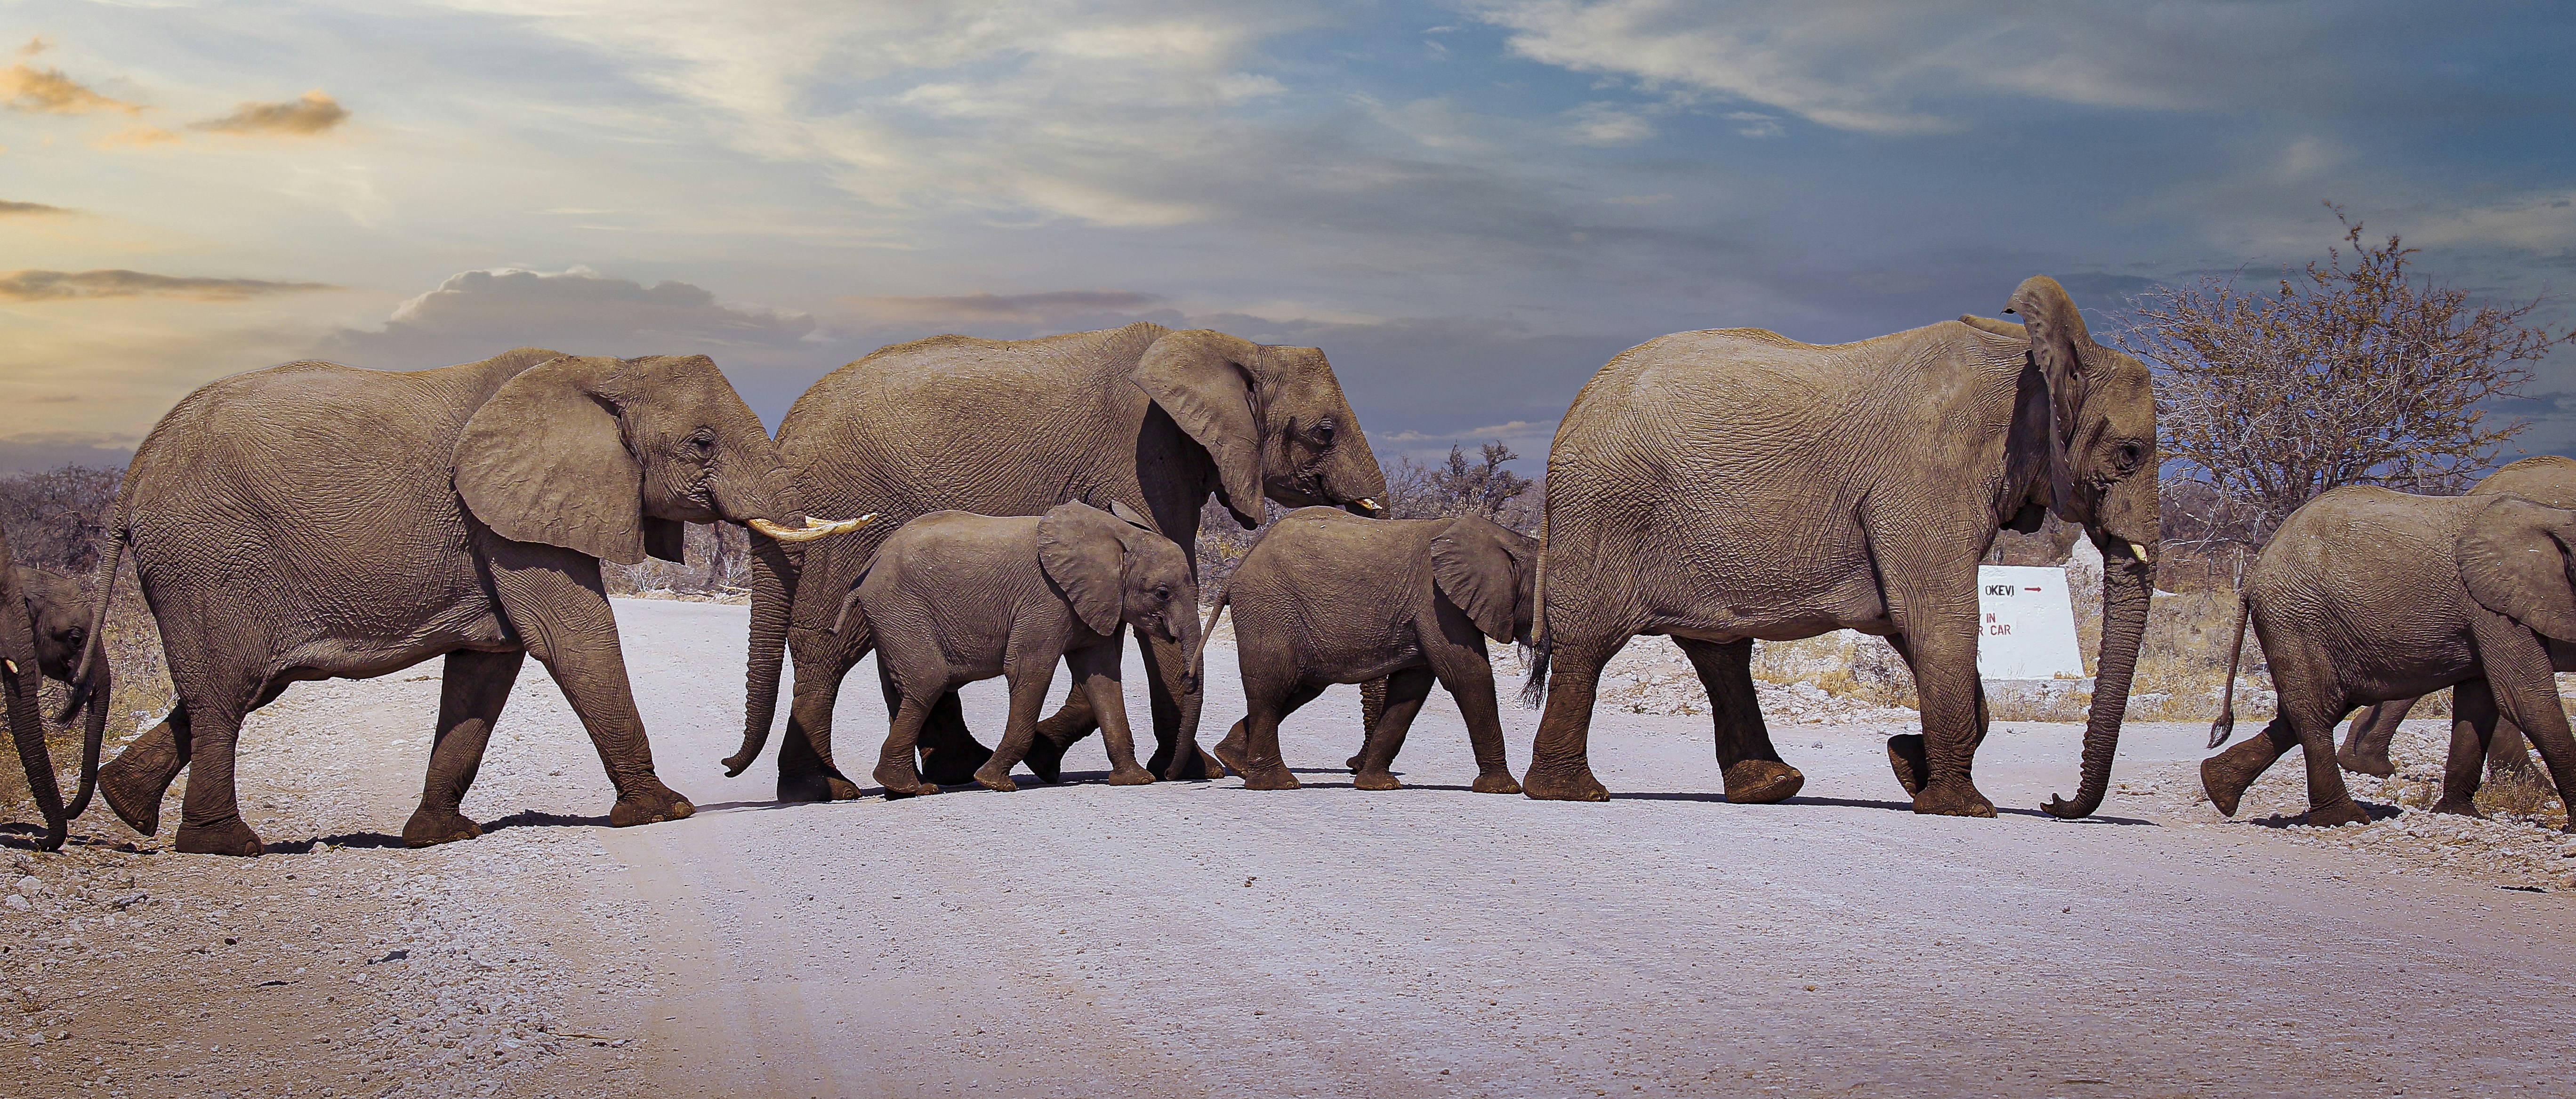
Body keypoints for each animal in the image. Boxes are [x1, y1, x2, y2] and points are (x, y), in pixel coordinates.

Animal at [86, 348, 869, 856]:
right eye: (702, 443)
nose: (729, 768)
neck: (606, 367)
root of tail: (136, 470)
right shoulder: (507, 520)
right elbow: (572, 634)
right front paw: (664, 811)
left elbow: (489, 664)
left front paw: (440, 836)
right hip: (206, 560)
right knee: (227, 691)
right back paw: (227, 845)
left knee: (240, 688)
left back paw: (126, 805)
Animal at [833, 502, 1200, 797]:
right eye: (1163, 593)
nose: (1170, 774)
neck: (1119, 535)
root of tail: (867, 569)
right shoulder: (1048, 601)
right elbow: (1030, 671)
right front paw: (994, 782)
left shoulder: (1092, 603)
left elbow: (1103, 679)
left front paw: (1135, 781)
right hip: (900, 609)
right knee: (928, 682)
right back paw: (912, 788)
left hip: (892, 618)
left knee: (900, 692)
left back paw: (904, 788)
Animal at [1193, 508, 1533, 794]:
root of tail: (1241, 562)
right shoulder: (1437, 601)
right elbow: (1468, 675)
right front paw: (1504, 789)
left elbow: (1410, 689)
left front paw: (1377, 786)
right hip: (1268, 607)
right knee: (1272, 688)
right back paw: (1277, 784)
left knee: (1298, 687)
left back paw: (1234, 761)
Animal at [1518, 276, 2159, 817]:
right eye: (2129, 455)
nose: (2054, 802)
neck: (2034, 359)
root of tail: (1573, 412)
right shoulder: (1927, 477)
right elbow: (1938, 618)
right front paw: (1961, 806)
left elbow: (1911, 623)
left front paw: (1908, 765)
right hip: (1606, 509)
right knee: (1590, 645)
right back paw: (1574, 794)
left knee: (1720, 653)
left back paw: (1772, 788)